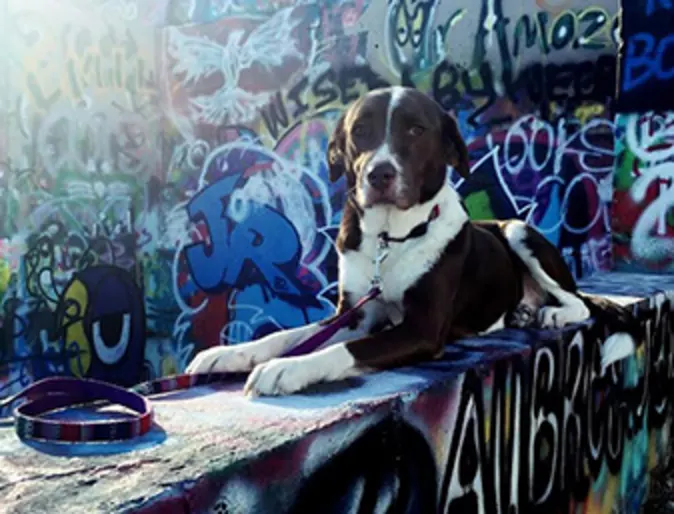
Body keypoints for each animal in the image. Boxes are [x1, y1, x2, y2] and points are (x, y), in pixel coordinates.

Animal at [185, 86, 636, 394]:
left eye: (417, 130)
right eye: (360, 130)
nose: (378, 174)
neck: (391, 237)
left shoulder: (423, 328)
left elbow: (345, 350)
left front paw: (288, 369)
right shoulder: (356, 313)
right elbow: (285, 336)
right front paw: (226, 354)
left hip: (518, 230)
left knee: (579, 301)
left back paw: (554, 313)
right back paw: (523, 312)